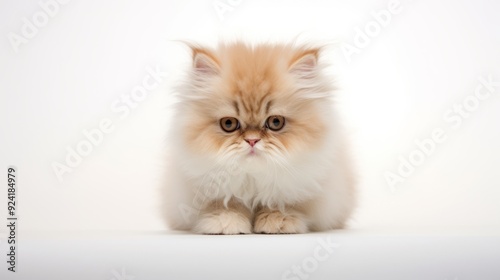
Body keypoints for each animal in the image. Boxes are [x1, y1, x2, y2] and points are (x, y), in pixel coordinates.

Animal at [163, 41, 356, 234]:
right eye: (228, 124)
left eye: (276, 122)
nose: (252, 140)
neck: (253, 180)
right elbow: (228, 203)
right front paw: (226, 222)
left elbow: (281, 202)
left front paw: (278, 220)